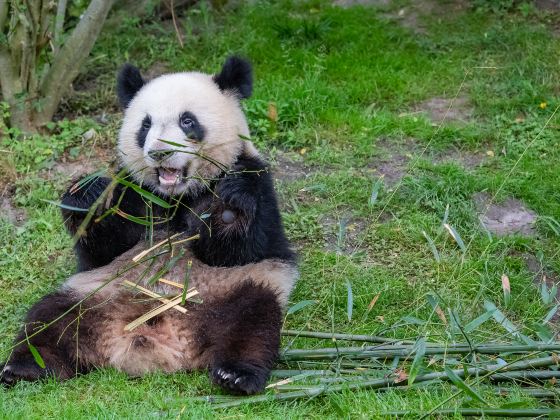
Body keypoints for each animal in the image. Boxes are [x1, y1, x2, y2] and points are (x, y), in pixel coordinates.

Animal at [1, 55, 298, 394]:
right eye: (146, 124)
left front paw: (228, 208)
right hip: (90, 296)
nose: (159, 152)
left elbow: (241, 247)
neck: (175, 196)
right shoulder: (134, 192)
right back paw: (26, 367)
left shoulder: (255, 180)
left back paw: (236, 375)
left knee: (253, 324)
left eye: (187, 121)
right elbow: (104, 247)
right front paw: (88, 195)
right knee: (48, 320)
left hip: (238, 289)